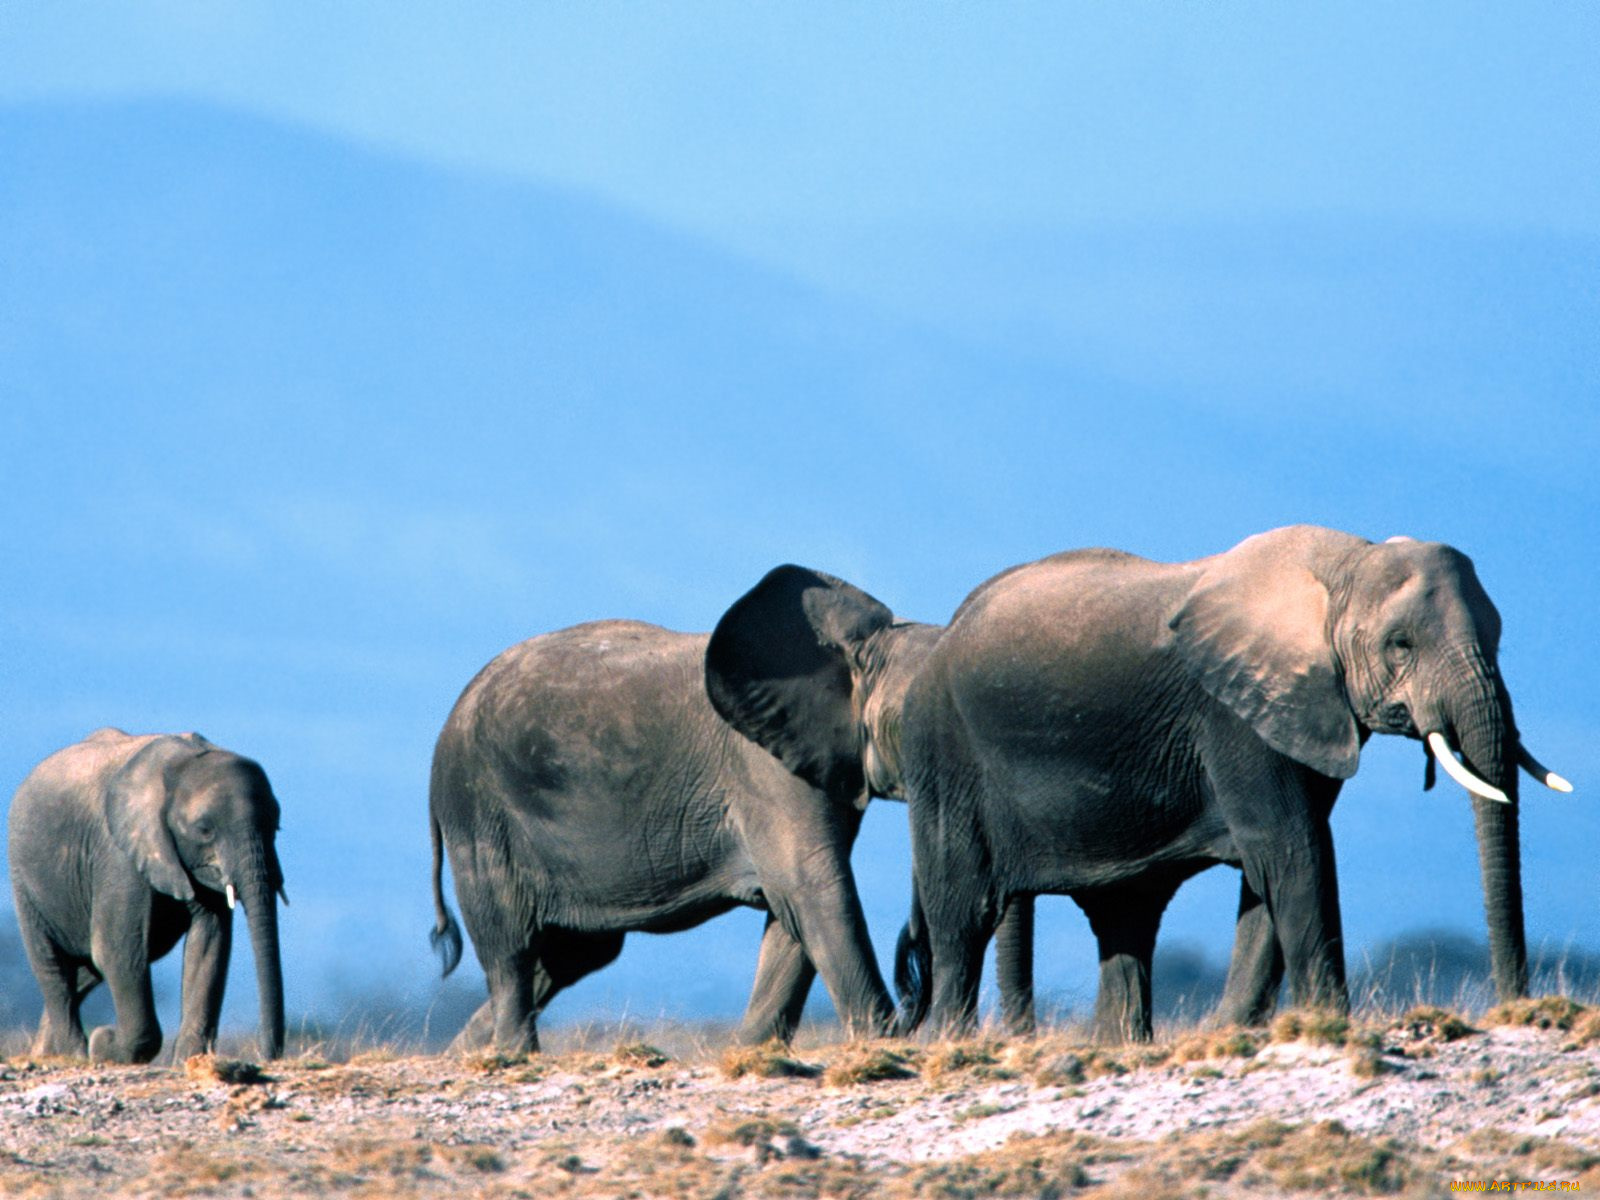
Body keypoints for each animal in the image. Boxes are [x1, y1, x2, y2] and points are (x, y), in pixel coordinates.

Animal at [7, 729, 287, 1062]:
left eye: (276, 825)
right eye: (204, 829)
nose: (265, 1055)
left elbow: (209, 942)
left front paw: (188, 1059)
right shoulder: (117, 854)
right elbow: (117, 949)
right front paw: (104, 1044)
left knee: (84, 973)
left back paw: (45, 1053)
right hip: (25, 881)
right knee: (53, 966)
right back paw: (76, 1053)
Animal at [427, 574, 938, 1053]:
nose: (914, 989)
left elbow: (794, 914)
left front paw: (750, 1051)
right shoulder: (765, 767)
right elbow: (814, 887)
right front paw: (881, 1043)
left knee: (566, 958)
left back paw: (467, 1056)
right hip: (482, 814)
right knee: (511, 952)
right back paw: (514, 1056)